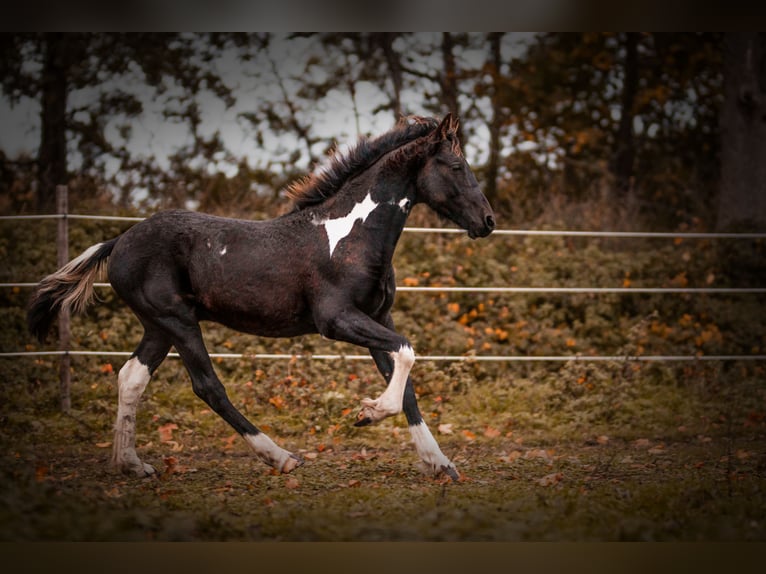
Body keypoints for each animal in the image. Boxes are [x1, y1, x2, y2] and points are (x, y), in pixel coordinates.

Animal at [27, 112, 498, 482]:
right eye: (457, 165)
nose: (488, 221)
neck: (351, 235)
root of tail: (118, 241)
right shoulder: (336, 319)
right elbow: (406, 354)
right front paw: (368, 413)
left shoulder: (379, 317)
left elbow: (407, 381)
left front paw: (439, 464)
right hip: (177, 321)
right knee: (207, 386)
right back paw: (281, 457)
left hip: (158, 327)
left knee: (131, 378)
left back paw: (132, 465)